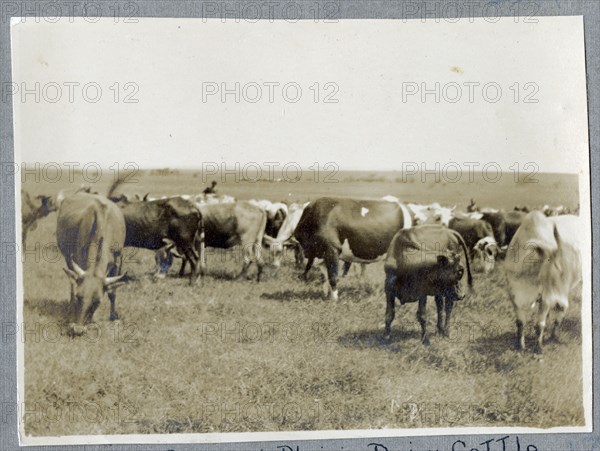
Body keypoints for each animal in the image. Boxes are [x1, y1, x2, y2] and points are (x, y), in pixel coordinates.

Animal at [56, 192, 127, 338]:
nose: (77, 330)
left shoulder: (118, 261)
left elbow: (112, 292)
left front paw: (112, 317)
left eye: (97, 301)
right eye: (79, 296)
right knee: (71, 282)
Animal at [504, 210, 584, 354]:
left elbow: (539, 324)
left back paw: (554, 335)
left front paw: (538, 348)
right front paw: (520, 346)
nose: (560, 304)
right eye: (555, 271)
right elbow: (520, 322)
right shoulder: (514, 295)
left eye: (564, 270)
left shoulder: (546, 299)